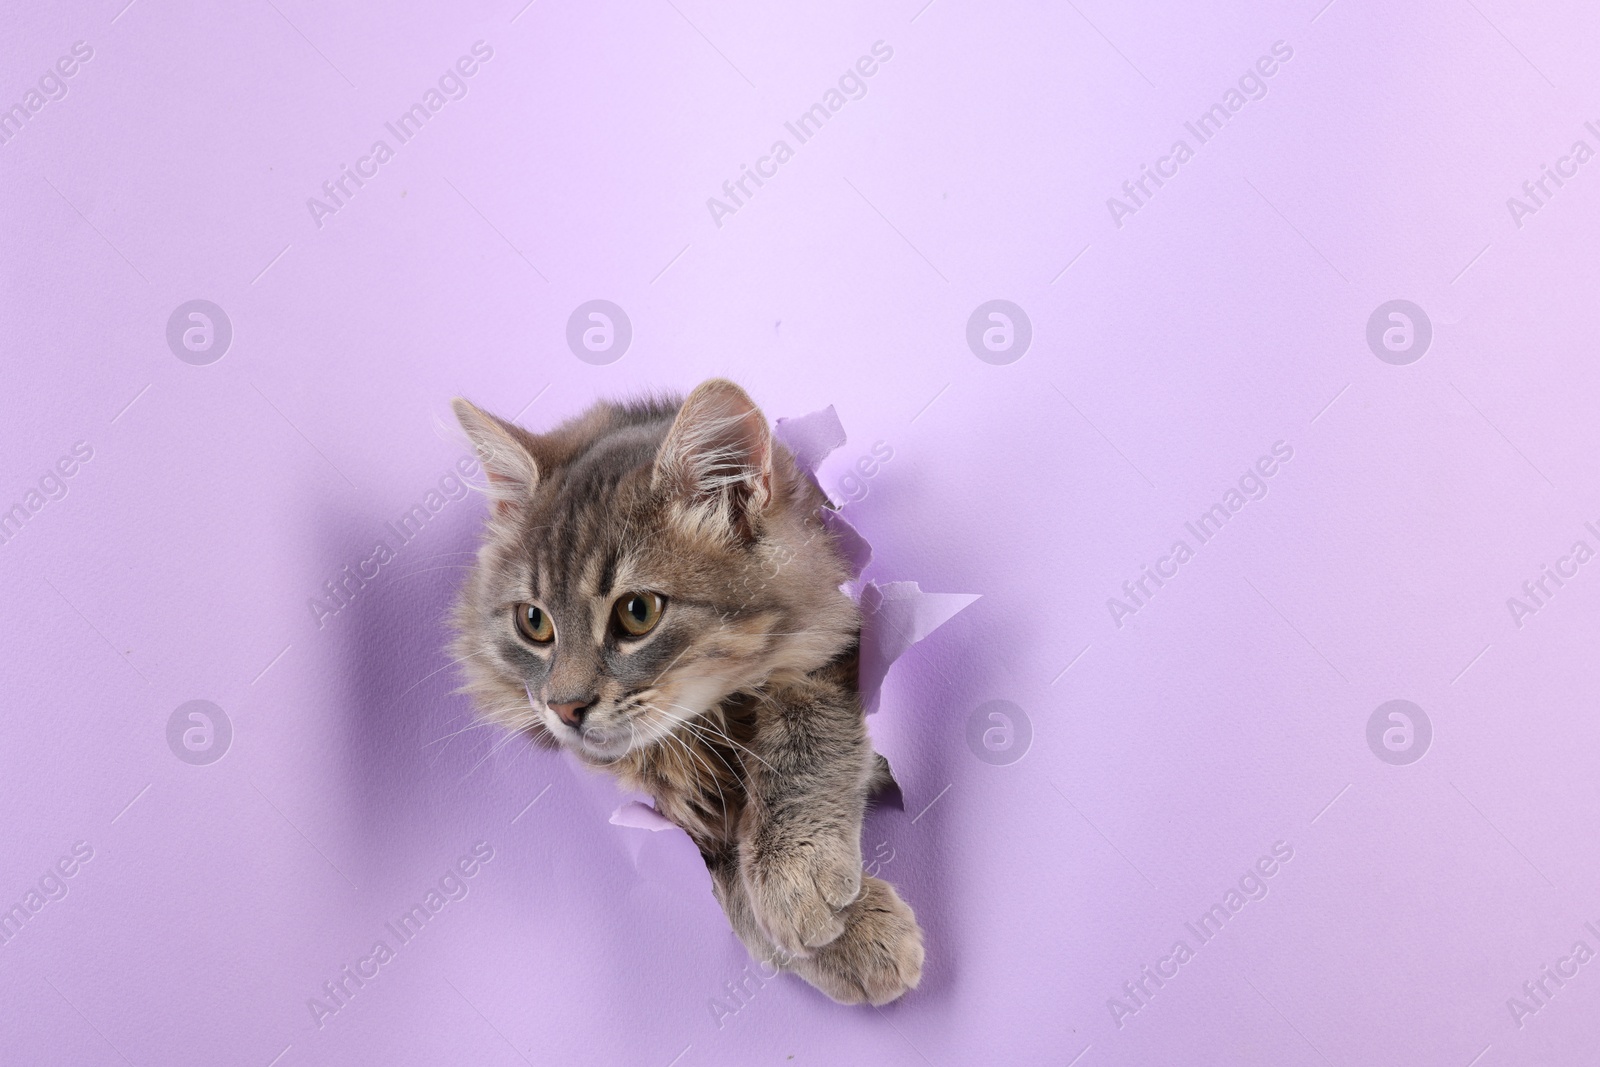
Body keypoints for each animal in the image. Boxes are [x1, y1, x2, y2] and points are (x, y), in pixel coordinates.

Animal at [451, 379, 928, 1004]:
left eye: (637, 613)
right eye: (534, 622)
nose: (564, 707)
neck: (708, 724)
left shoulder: (830, 649)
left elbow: (806, 744)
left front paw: (797, 879)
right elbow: (723, 870)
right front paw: (856, 937)